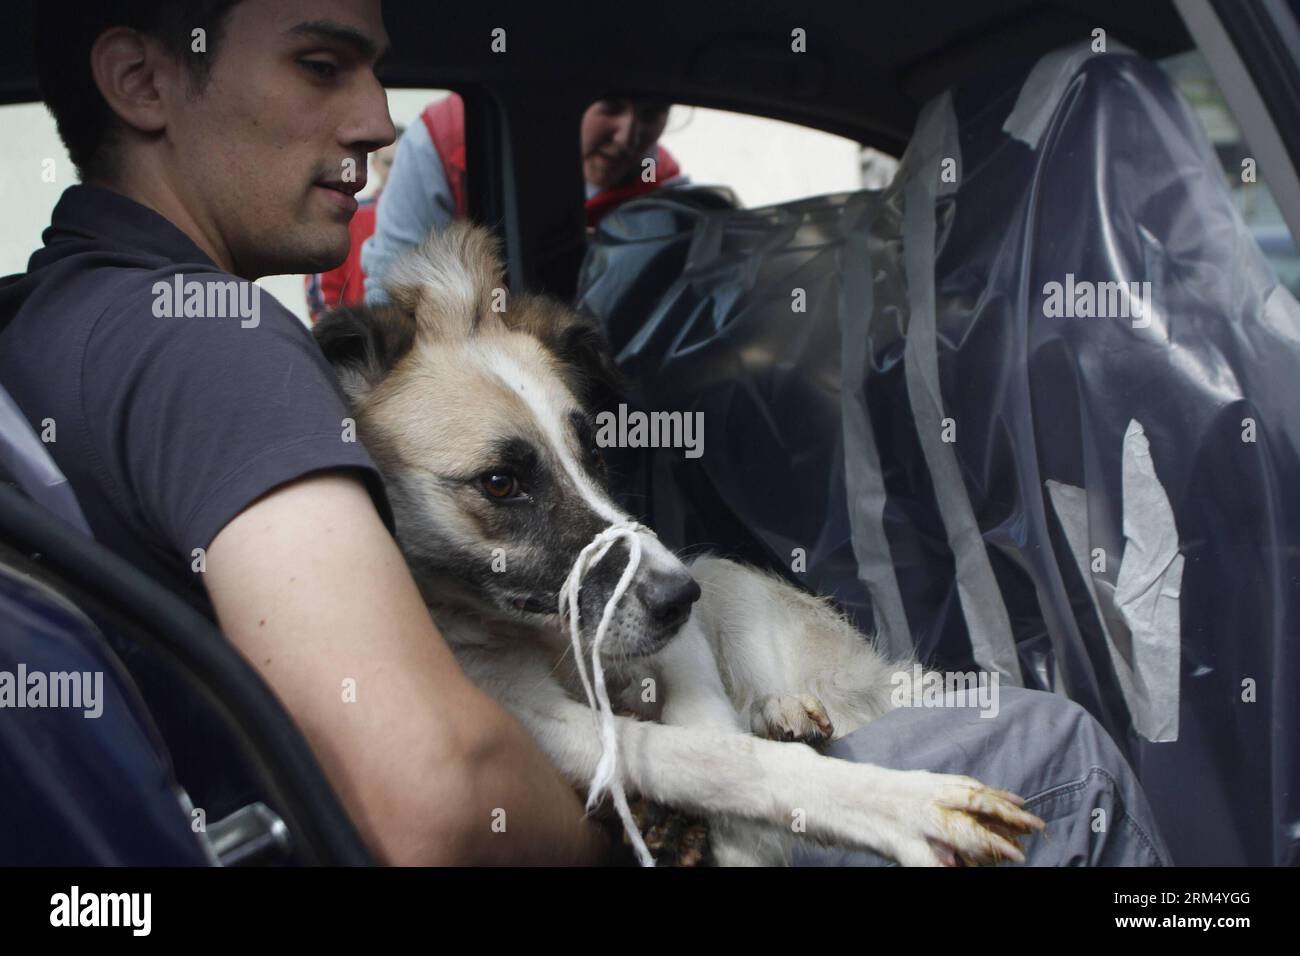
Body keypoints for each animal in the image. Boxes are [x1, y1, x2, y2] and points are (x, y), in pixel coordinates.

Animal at [309, 223, 1040, 868]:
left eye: (594, 452)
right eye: (500, 482)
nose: (680, 598)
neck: (531, 636)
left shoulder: (671, 637)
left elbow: (711, 728)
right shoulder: (531, 719)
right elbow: (708, 759)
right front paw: (897, 806)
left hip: (729, 580)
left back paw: (784, 710)